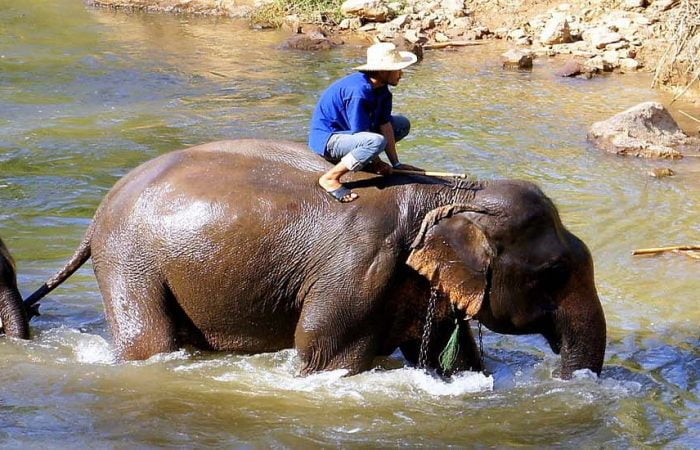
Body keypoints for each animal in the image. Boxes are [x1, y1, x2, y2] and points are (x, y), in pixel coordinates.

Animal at [23, 139, 606, 378]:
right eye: (554, 272)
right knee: (150, 342)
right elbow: (326, 354)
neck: (445, 198)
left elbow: (453, 357)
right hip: (130, 260)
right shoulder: (359, 267)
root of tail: (101, 209)